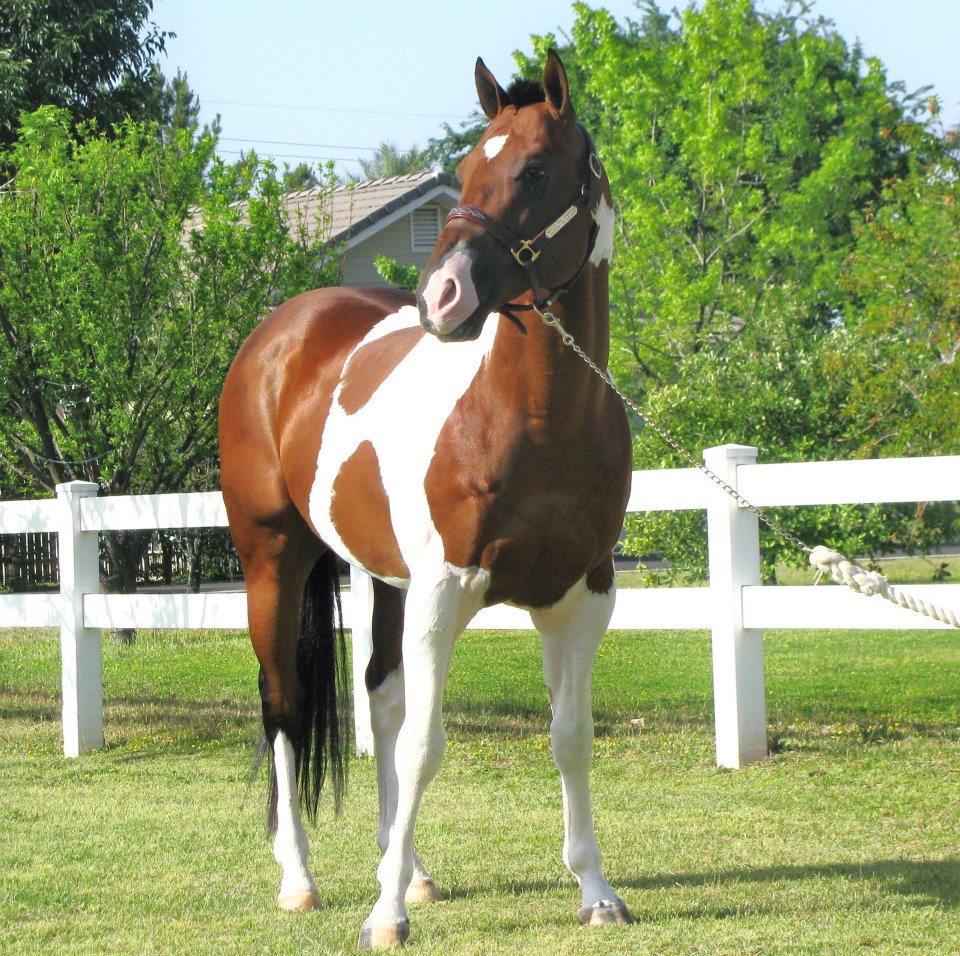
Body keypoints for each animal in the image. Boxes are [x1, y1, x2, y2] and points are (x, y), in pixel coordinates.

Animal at [220, 52, 632, 948]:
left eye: (536, 170)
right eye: (470, 166)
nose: (441, 298)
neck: (535, 421)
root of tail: (279, 332)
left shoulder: (581, 597)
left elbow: (570, 738)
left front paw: (595, 890)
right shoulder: (445, 592)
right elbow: (421, 748)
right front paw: (382, 918)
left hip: (382, 581)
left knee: (378, 699)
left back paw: (408, 871)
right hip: (273, 560)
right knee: (285, 706)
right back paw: (301, 879)